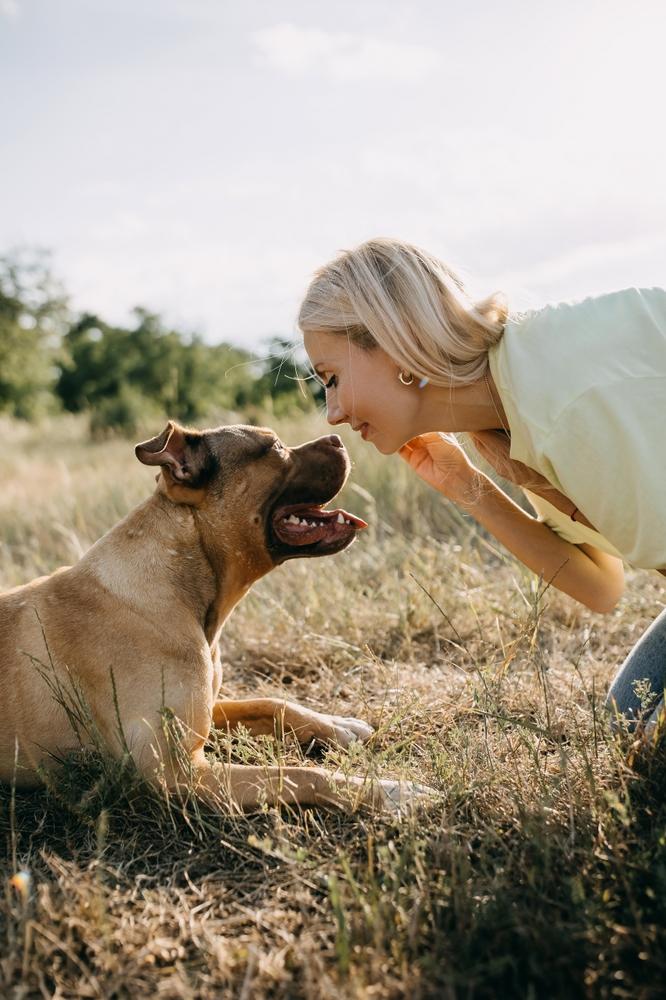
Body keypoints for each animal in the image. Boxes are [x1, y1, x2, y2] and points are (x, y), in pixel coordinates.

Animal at [0, 422, 422, 812]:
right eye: (273, 448)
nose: (339, 438)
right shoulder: (176, 771)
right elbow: (299, 775)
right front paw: (389, 791)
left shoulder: (207, 712)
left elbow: (273, 703)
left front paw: (339, 726)